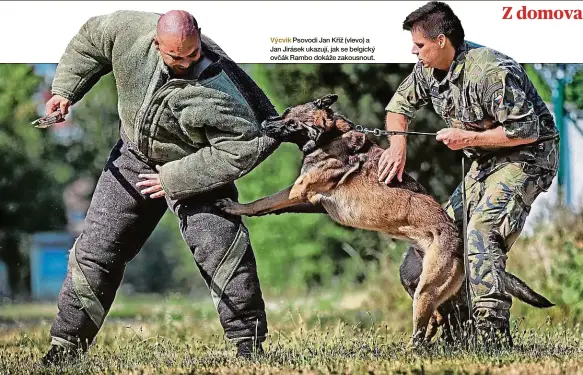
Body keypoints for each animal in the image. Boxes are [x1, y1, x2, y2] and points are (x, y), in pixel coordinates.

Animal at [217, 94, 556, 346]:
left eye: (288, 115)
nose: (263, 121)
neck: (332, 135)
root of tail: (460, 240)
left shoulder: (300, 190)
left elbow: (262, 202)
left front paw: (234, 207)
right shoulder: (312, 202)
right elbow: (271, 207)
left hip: (426, 289)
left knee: (424, 326)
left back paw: (416, 349)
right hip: (415, 280)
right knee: (440, 317)